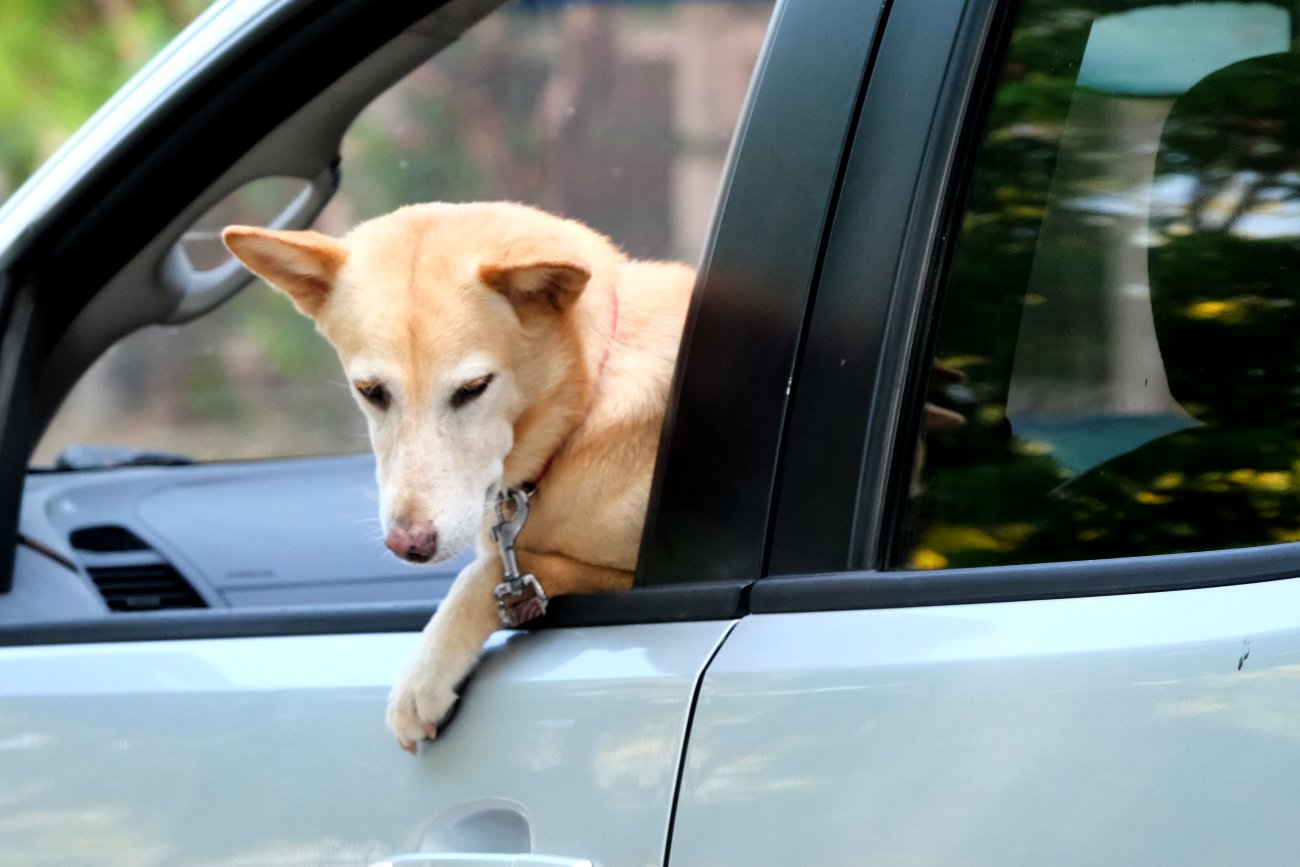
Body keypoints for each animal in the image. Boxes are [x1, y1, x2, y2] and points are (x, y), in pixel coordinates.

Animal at [223, 202, 693, 752]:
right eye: (371, 391)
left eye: (473, 388)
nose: (409, 545)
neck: (583, 409)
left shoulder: (625, 578)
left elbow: (485, 574)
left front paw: (421, 678)